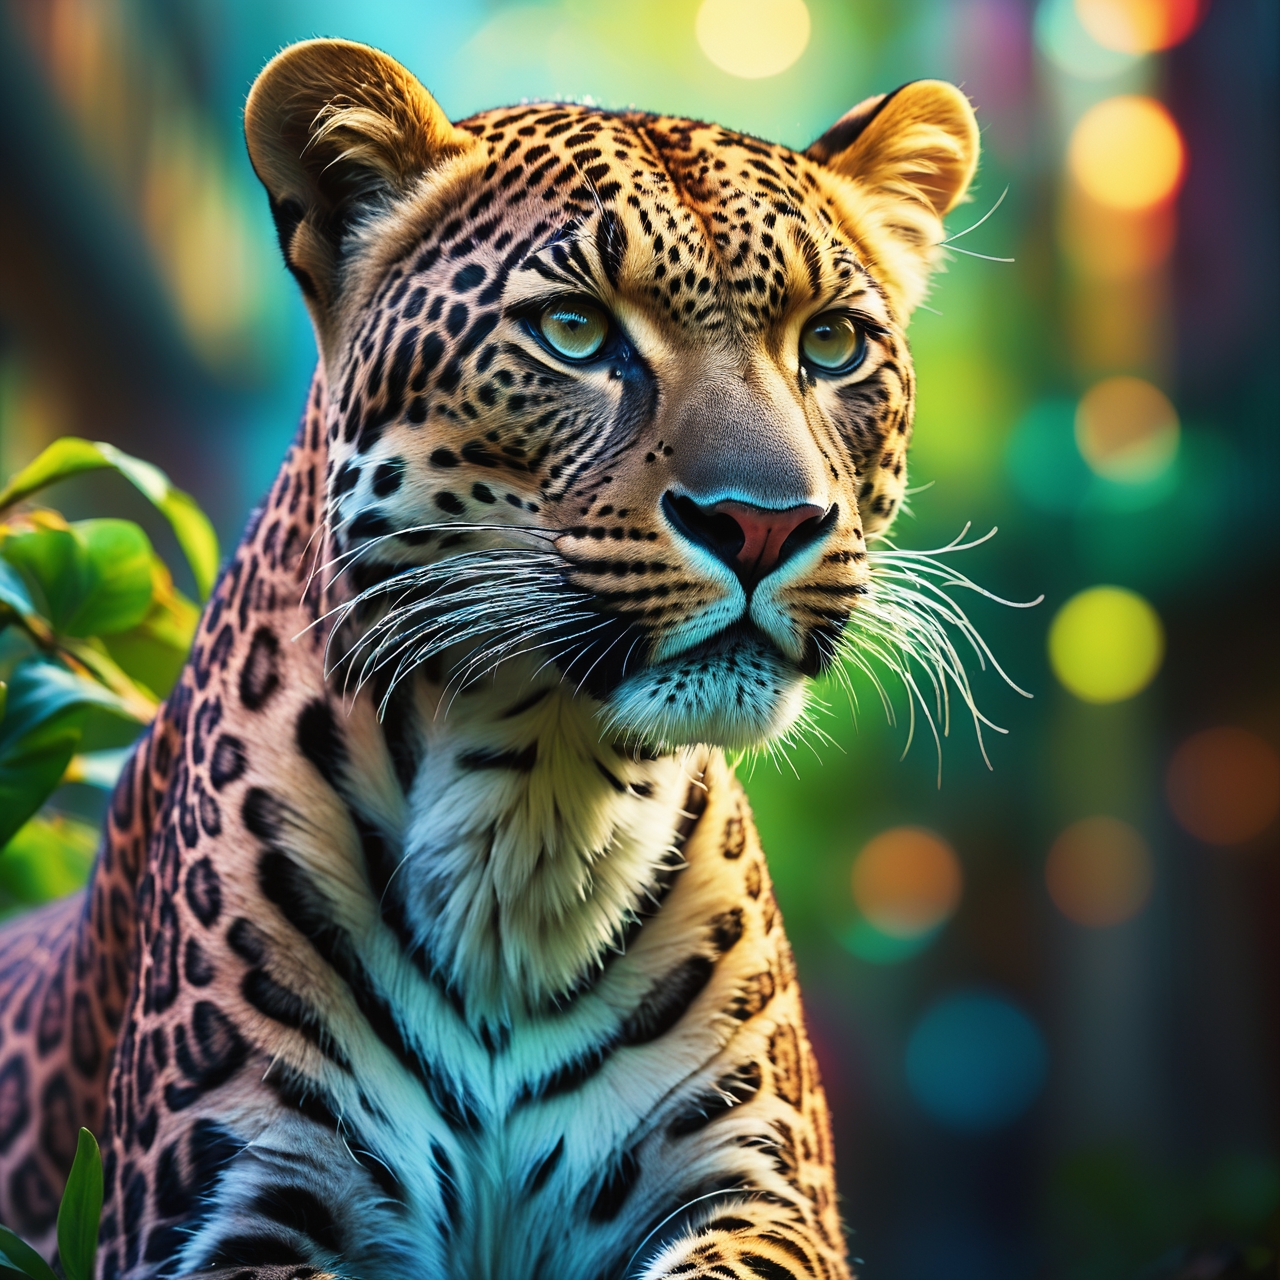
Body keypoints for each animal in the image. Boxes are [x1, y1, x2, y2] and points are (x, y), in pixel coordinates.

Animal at [0, 38, 980, 1280]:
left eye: (832, 343)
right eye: (573, 331)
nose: (762, 523)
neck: (537, 808)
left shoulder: (762, 1191)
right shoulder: (225, 1206)